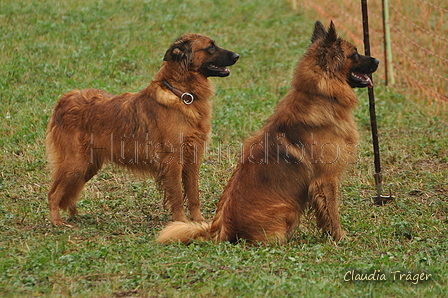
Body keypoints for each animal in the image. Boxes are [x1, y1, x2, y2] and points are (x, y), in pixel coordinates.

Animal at [46, 33, 238, 225]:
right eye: (210, 47)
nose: (237, 55)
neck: (182, 94)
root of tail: (65, 99)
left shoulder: (192, 160)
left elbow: (193, 194)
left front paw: (198, 221)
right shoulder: (173, 162)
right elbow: (177, 195)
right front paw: (181, 223)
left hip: (88, 166)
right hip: (76, 164)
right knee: (53, 193)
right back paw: (57, 222)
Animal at [158, 21, 378, 244]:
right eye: (355, 54)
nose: (377, 60)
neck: (320, 96)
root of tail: (219, 229)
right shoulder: (326, 180)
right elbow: (332, 214)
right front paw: (341, 238)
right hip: (288, 209)